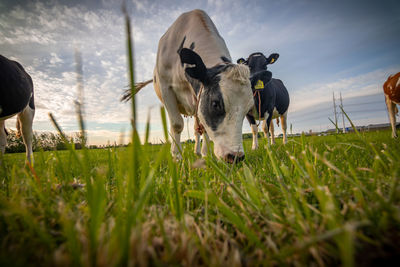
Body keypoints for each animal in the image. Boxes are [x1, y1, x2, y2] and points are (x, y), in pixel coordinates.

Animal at [122, 9, 253, 163]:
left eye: (248, 109)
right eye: (215, 104)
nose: (235, 157)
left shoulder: (199, 96)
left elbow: (203, 126)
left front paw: (206, 155)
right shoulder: (166, 87)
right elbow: (177, 125)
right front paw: (177, 157)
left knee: (198, 128)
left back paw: (198, 152)